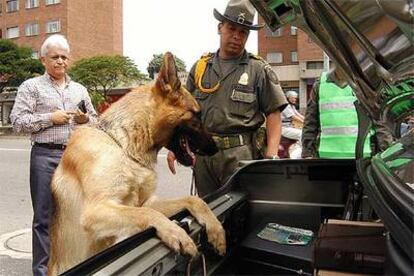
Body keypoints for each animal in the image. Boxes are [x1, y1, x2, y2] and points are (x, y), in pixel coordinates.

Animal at [48, 52, 226, 274]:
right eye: (197, 115)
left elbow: (193, 200)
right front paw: (177, 234)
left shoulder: (146, 201)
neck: (124, 145)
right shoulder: (96, 210)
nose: (215, 148)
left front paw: (216, 229)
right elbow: (146, 213)